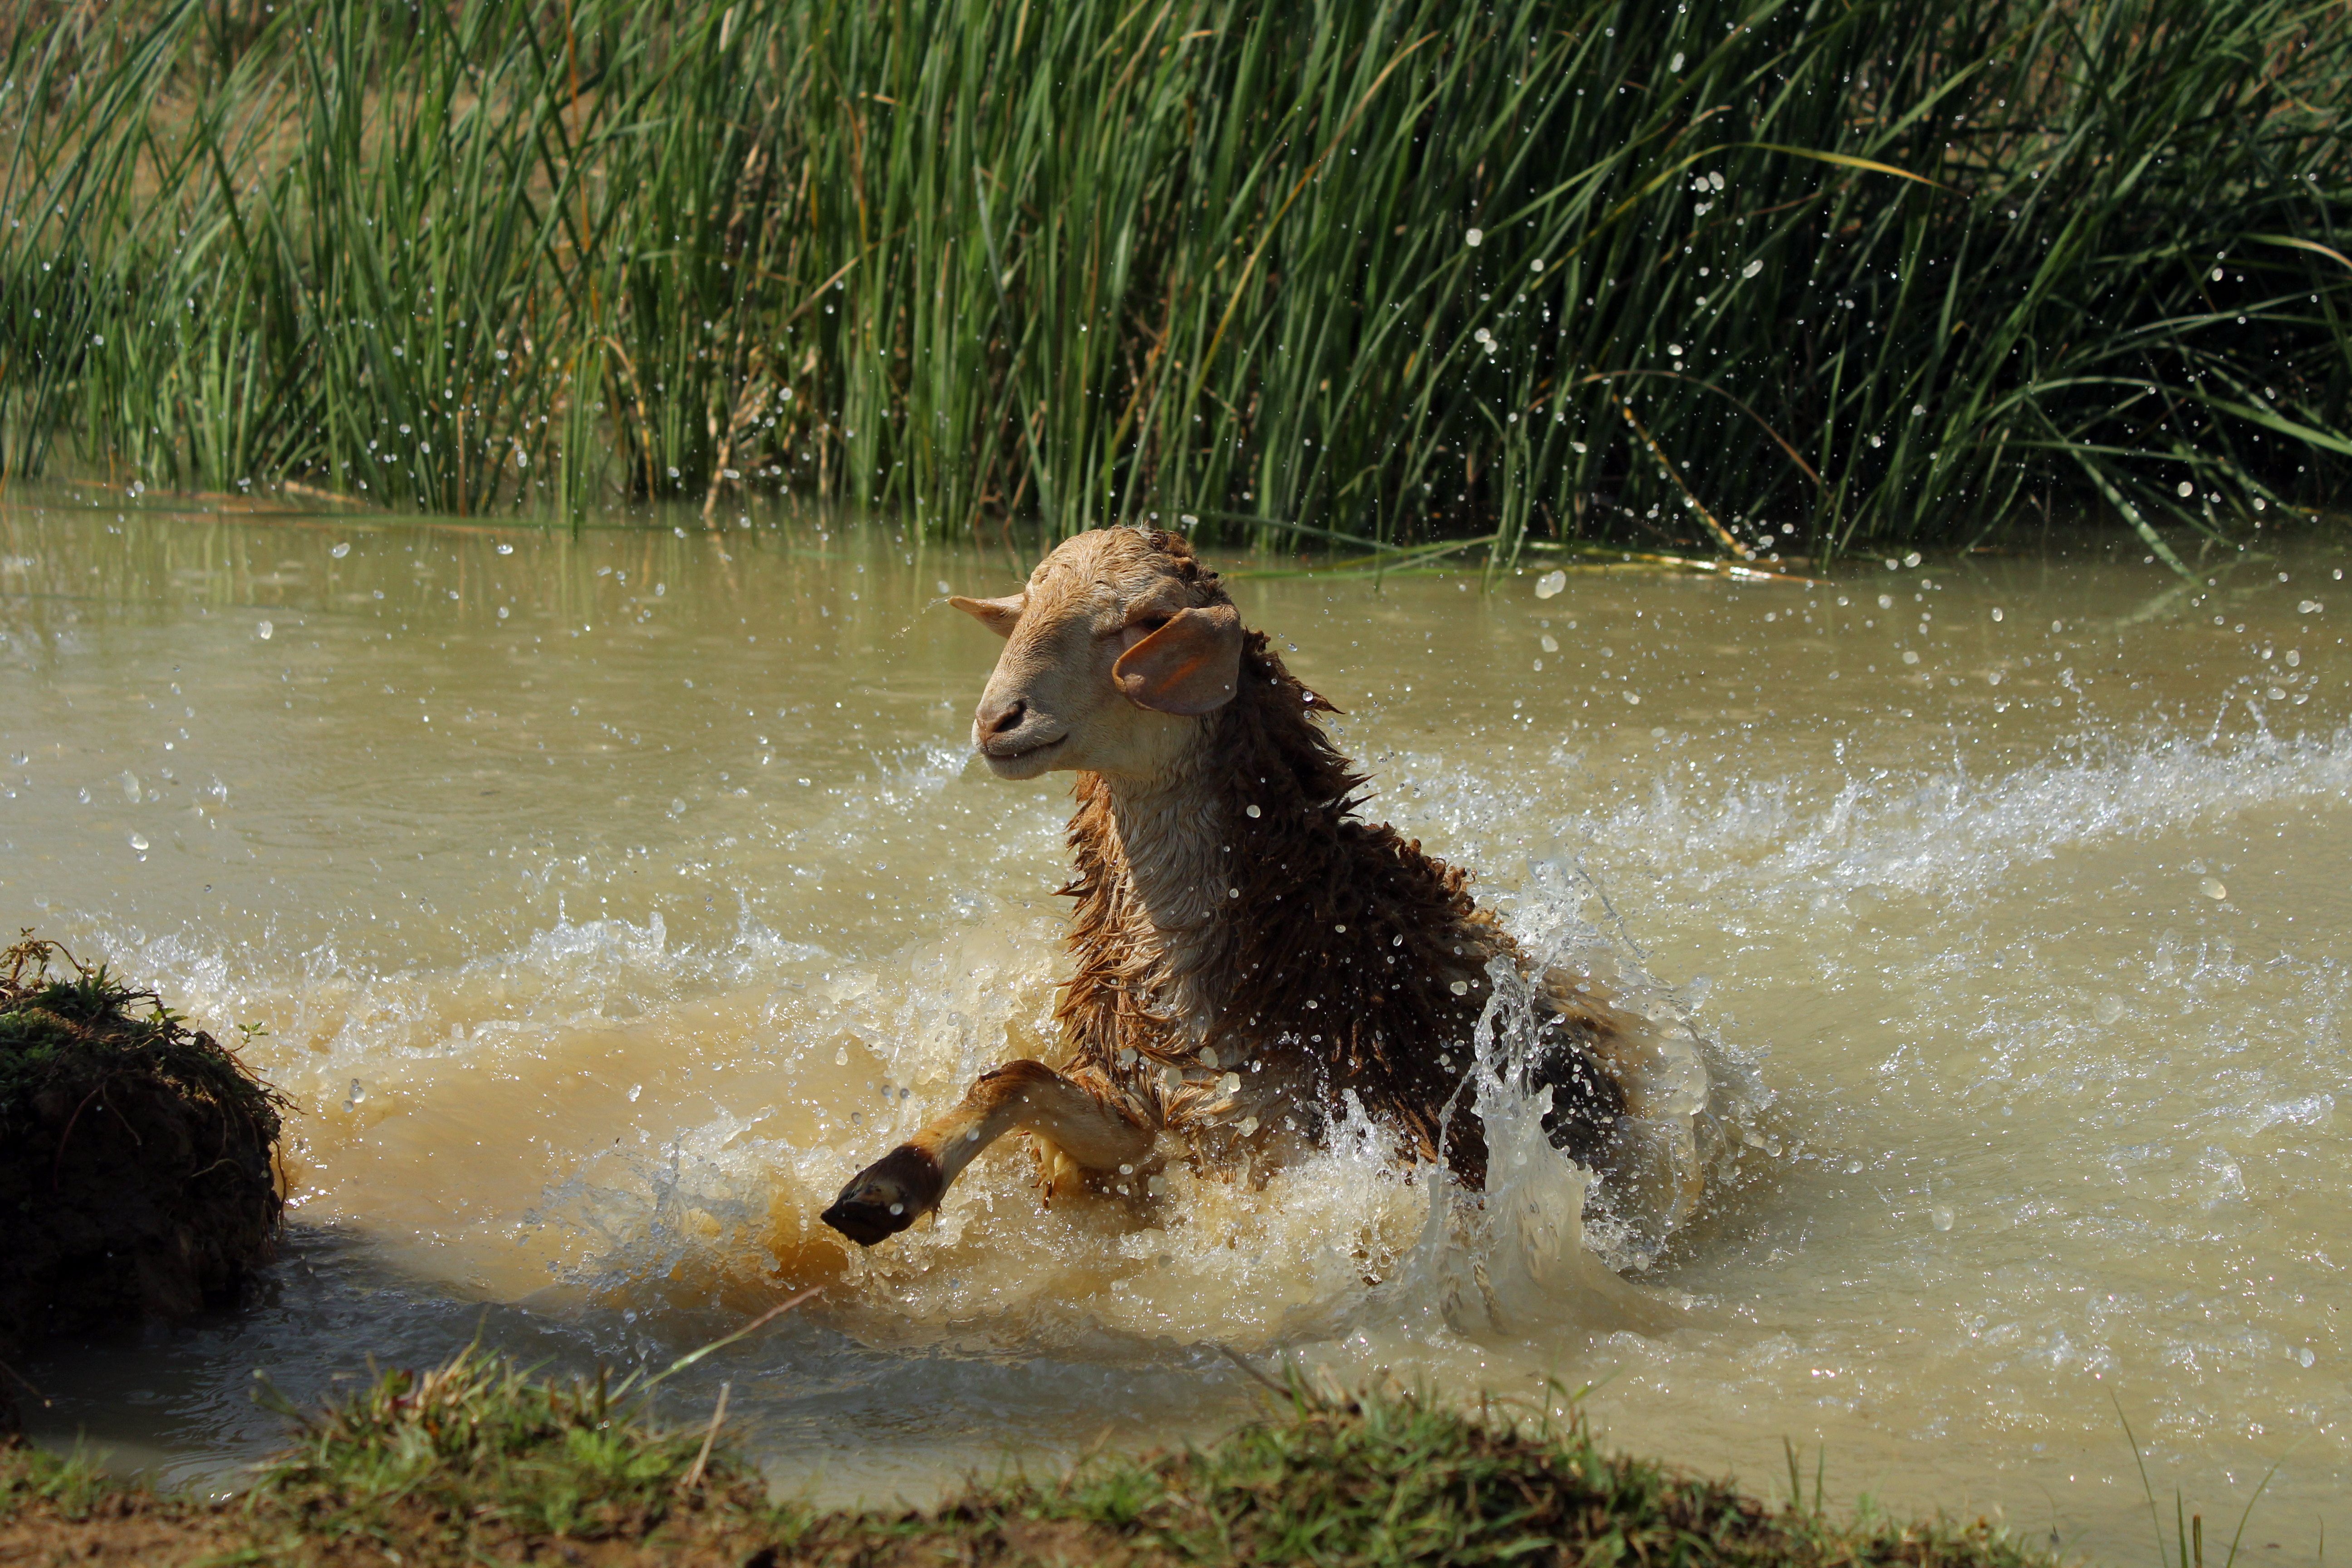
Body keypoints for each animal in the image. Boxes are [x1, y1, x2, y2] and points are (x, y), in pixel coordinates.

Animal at [820, 526, 1643, 1247]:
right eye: (1023, 609)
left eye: (1151, 620)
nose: (998, 719)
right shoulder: (1149, 1114)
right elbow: (1016, 1081)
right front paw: (885, 1187)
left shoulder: (1294, 1146)